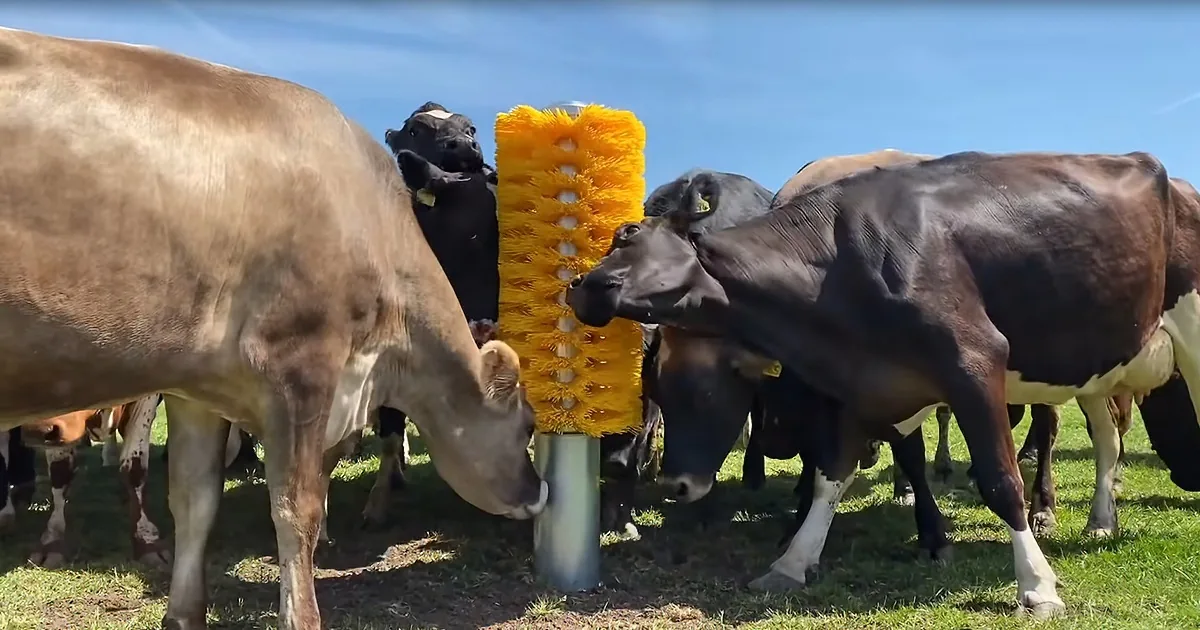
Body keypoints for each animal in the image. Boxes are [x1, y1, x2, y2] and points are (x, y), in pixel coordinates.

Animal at [0, 27, 547, 630]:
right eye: (526, 425)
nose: (538, 492)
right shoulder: (300, 368)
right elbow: (294, 510)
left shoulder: (195, 390)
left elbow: (193, 500)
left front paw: (182, 613)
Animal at [566, 149, 1200, 618]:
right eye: (656, 393)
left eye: (628, 239)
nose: (578, 288)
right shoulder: (864, 381)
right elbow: (831, 474)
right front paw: (792, 562)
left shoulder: (975, 362)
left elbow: (1001, 481)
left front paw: (1037, 586)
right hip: (1096, 363)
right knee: (1107, 439)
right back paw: (1101, 521)